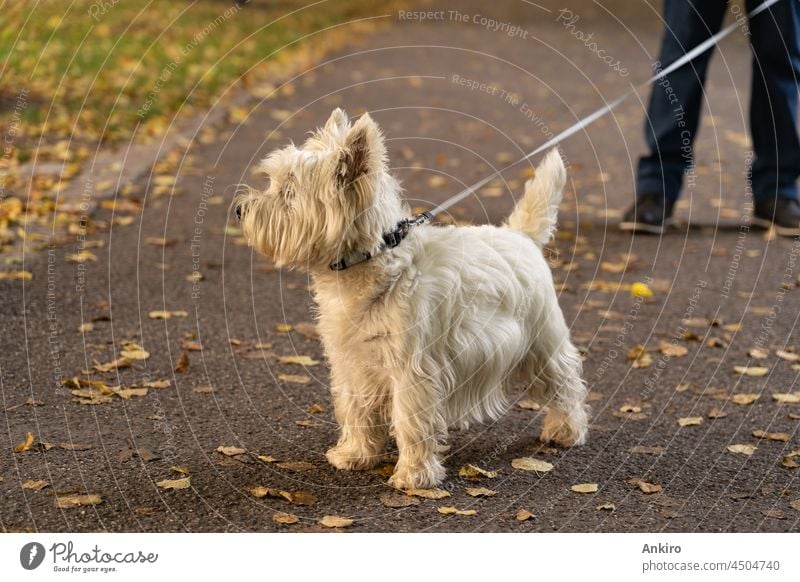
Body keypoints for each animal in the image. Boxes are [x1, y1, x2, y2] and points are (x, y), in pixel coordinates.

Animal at [236, 110, 588, 492]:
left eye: (288, 192)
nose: (239, 209)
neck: (371, 261)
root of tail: (521, 236)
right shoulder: (352, 362)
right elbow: (356, 409)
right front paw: (354, 455)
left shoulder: (412, 369)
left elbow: (410, 421)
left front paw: (413, 476)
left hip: (541, 341)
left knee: (566, 382)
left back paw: (566, 431)